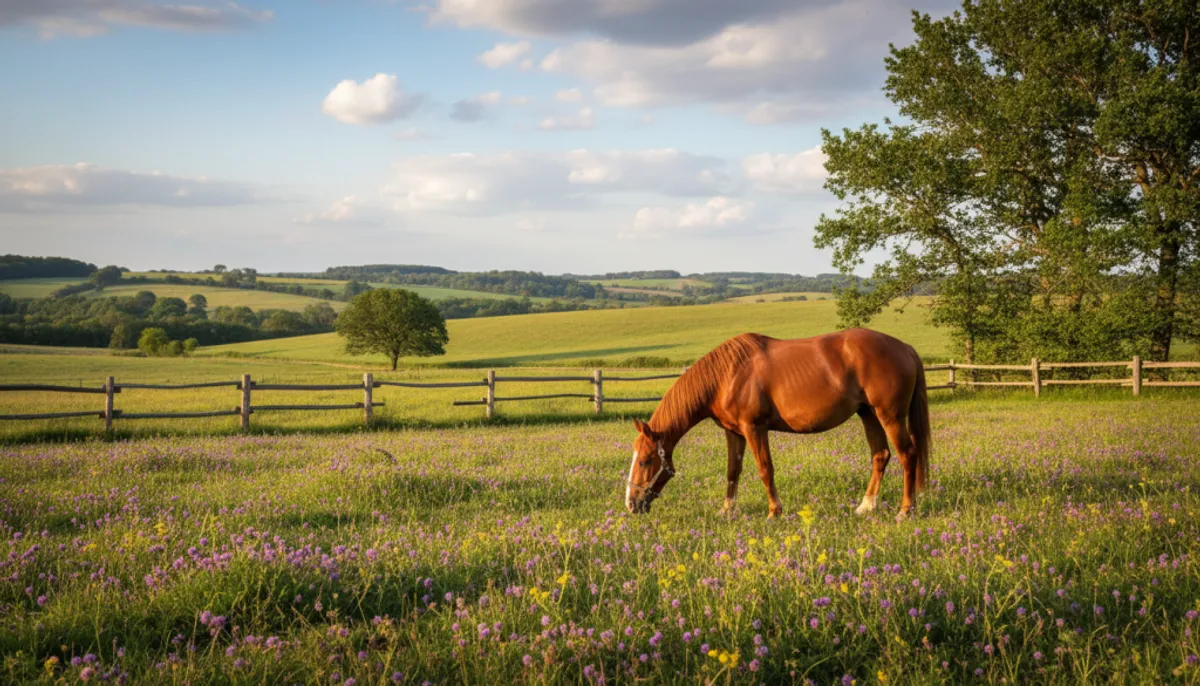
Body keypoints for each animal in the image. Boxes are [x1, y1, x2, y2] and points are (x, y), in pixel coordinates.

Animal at [624, 328, 930, 520]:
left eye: (645, 460)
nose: (630, 504)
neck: (726, 376)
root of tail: (904, 347)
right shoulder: (734, 433)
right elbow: (733, 470)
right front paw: (727, 510)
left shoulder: (754, 428)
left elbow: (765, 469)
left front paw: (774, 511)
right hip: (868, 414)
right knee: (880, 455)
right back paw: (865, 507)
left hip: (889, 415)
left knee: (907, 455)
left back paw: (905, 510)